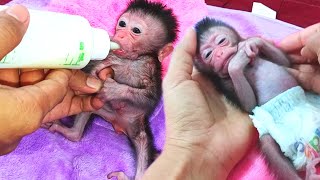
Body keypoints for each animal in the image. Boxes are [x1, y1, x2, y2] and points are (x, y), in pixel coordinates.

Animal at [45, 0, 179, 179]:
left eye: (136, 30)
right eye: (122, 24)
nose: (119, 35)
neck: (130, 60)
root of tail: (118, 123)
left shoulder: (150, 68)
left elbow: (148, 97)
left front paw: (113, 89)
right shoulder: (110, 57)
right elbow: (94, 70)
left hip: (136, 126)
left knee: (143, 144)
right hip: (100, 108)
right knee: (86, 111)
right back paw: (71, 133)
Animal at [194, 17, 320, 180]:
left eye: (221, 41)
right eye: (208, 54)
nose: (219, 54)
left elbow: (285, 62)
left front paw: (251, 42)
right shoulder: (226, 83)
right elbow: (249, 105)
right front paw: (235, 64)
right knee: (269, 143)